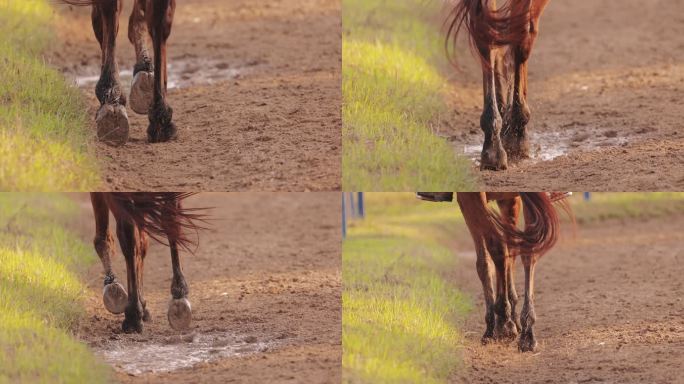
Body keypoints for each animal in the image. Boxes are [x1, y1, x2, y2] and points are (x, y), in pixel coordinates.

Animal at [420, 192, 568, 352]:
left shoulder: (468, 201)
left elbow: (485, 262)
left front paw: (497, 326)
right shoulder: (509, 201)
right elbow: (509, 254)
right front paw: (511, 317)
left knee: (498, 247)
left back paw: (504, 324)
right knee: (525, 251)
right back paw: (526, 333)